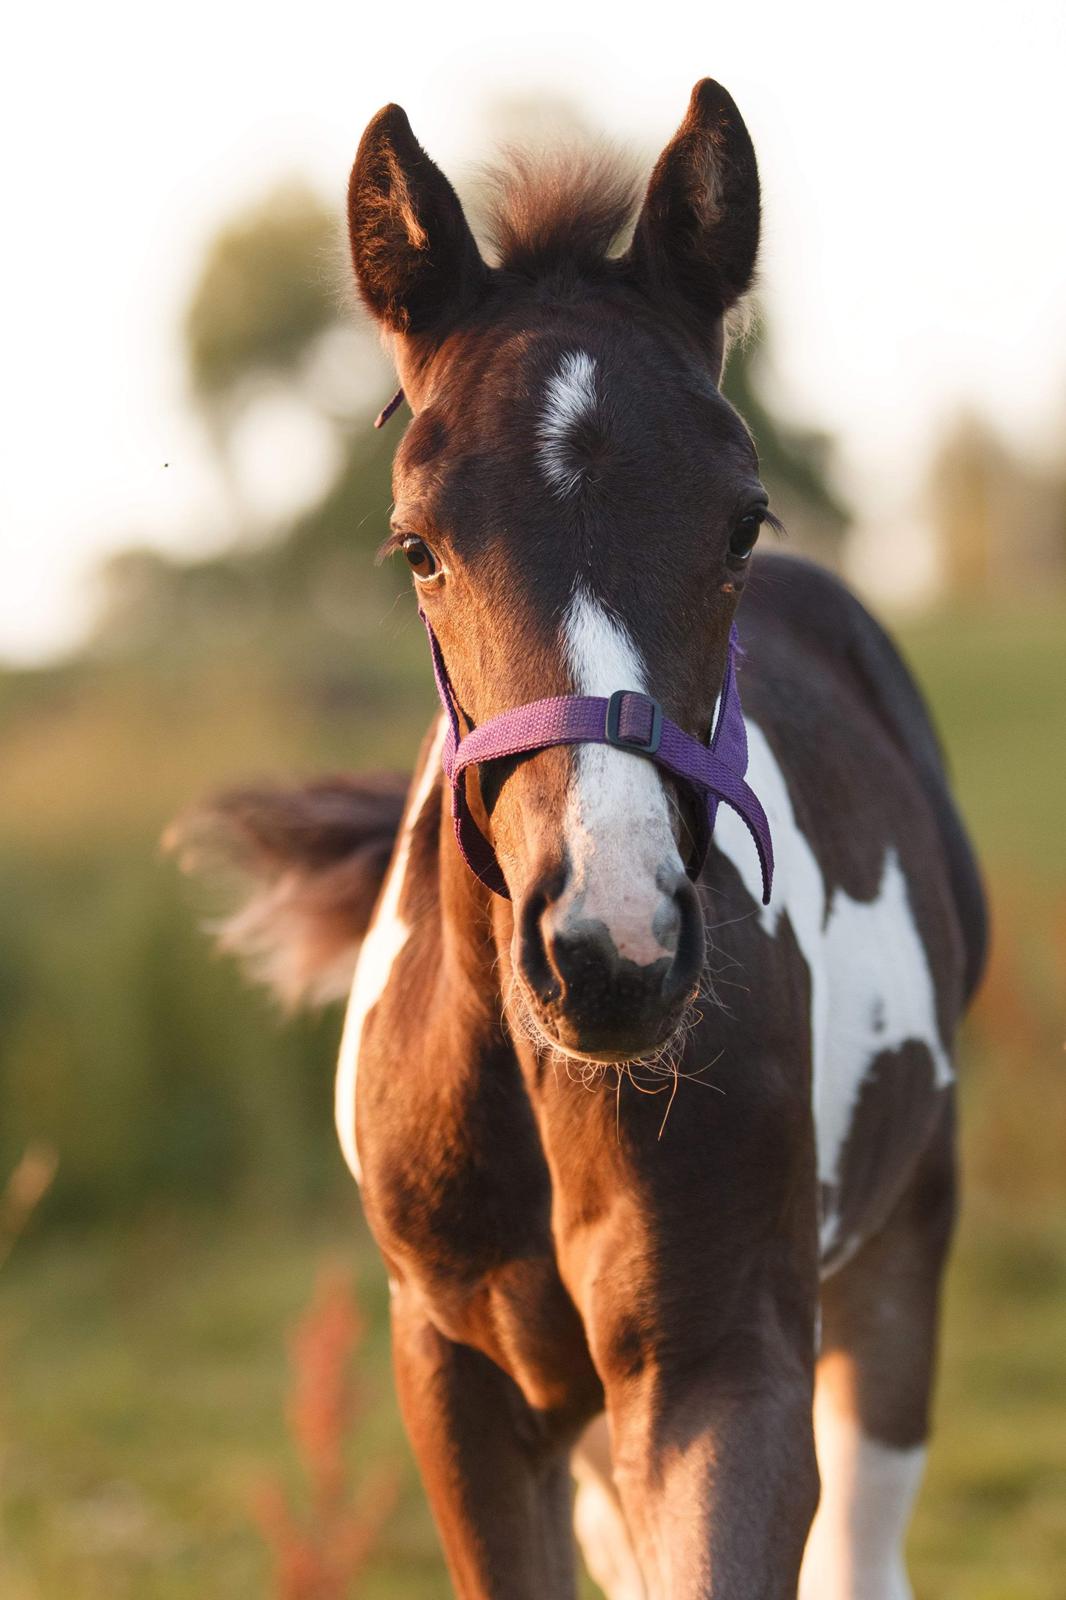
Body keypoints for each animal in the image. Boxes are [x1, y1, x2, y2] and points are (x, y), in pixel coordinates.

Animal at [186, 78, 985, 1600]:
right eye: (417, 545)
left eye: (739, 524)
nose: (612, 951)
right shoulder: (461, 1379)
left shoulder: (718, 1368)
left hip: (900, 1243)